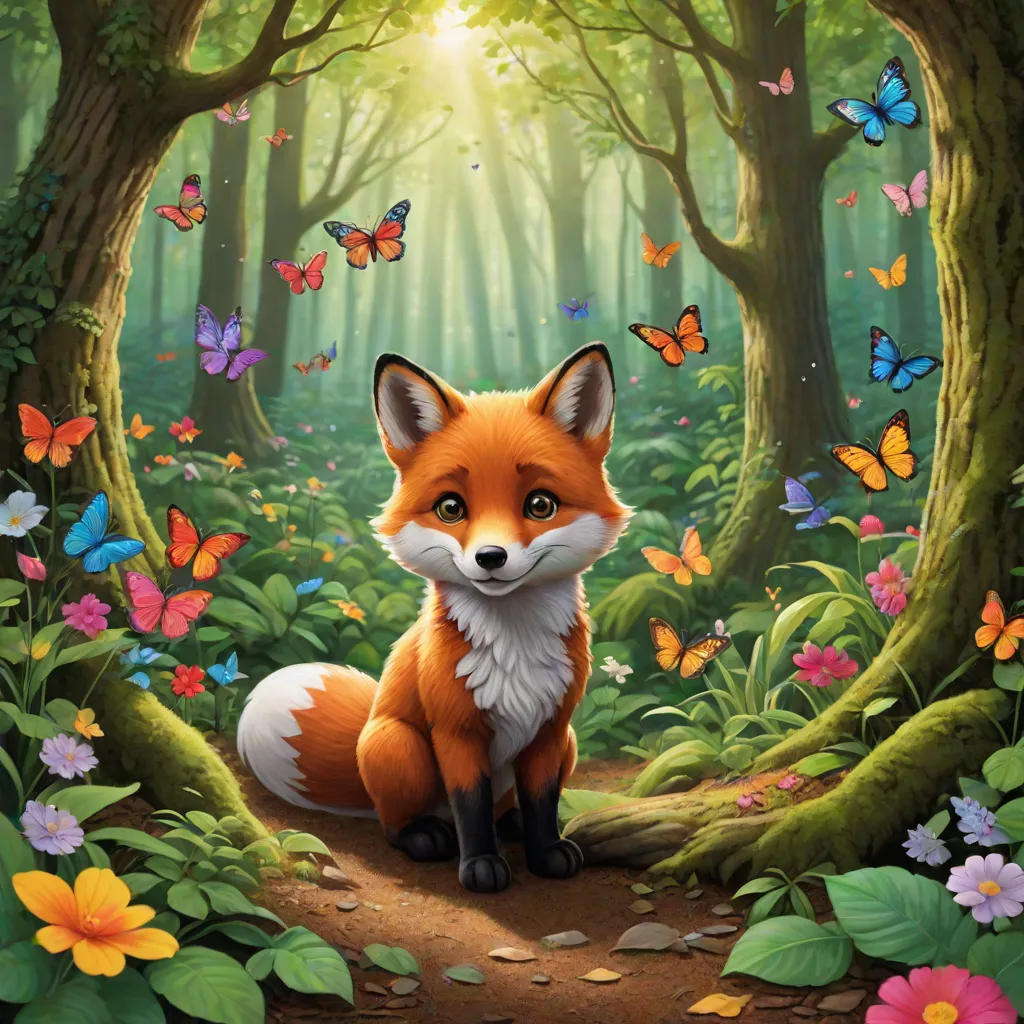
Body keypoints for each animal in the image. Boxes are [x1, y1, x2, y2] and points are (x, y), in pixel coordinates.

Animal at [236, 343, 630, 892]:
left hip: (568, 743)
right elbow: (471, 806)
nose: (490, 557)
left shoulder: (550, 730)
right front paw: (480, 866)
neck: (514, 646)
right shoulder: (456, 730)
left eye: (540, 505)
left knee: (505, 806)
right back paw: (424, 835)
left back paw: (510, 824)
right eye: (450, 508)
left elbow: (542, 801)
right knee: (395, 822)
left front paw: (546, 850)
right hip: (397, 745)